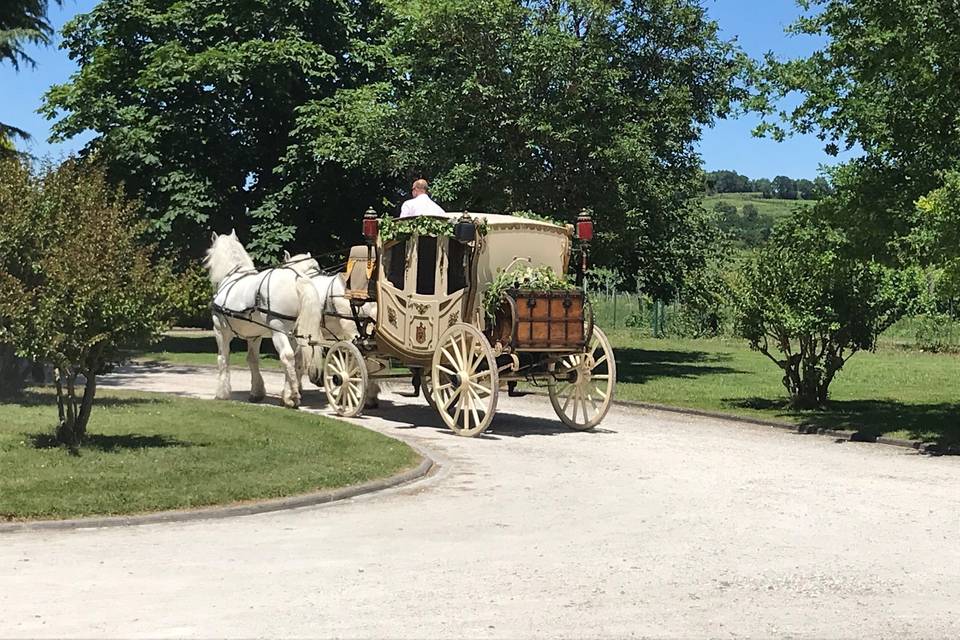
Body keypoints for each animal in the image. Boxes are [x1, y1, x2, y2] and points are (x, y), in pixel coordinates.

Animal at [205, 232, 322, 408]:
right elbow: (252, 360)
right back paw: (288, 393)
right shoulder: (254, 335)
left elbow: (223, 359)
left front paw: (222, 393)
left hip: (278, 329)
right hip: (294, 332)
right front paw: (257, 392)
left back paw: (292, 397)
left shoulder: (220, 331)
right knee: (296, 358)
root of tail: (296, 278)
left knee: (287, 356)